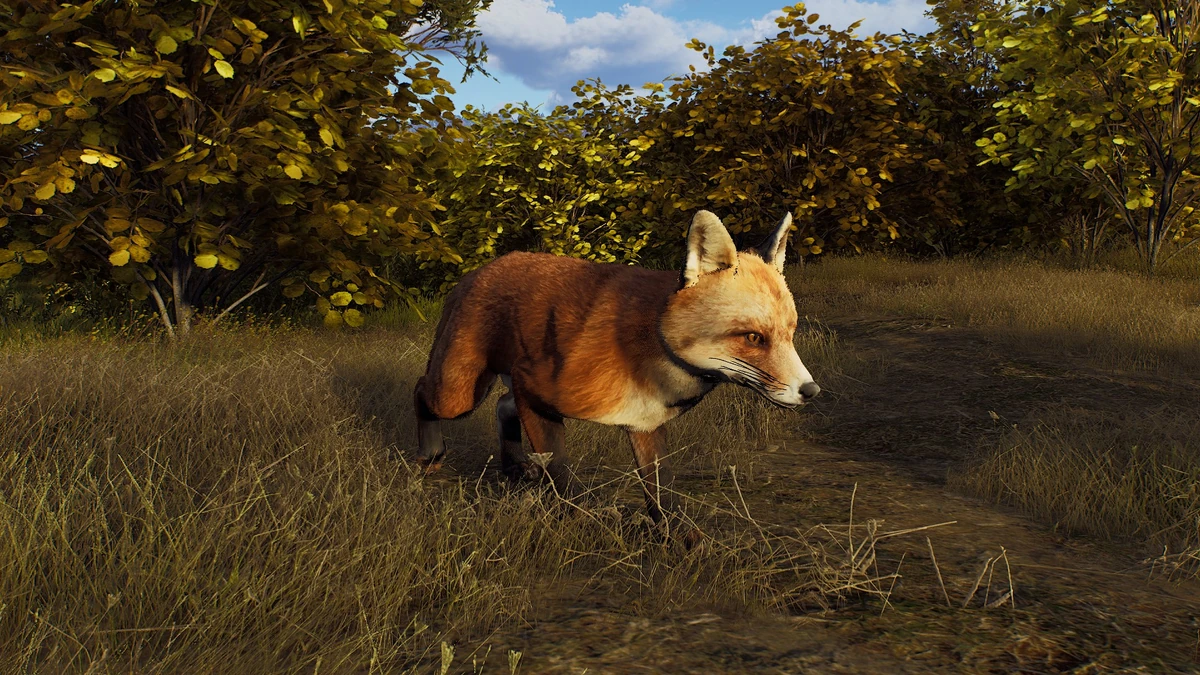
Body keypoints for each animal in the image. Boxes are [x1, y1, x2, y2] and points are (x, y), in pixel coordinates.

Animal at [413, 210, 820, 543]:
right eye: (753, 338)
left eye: (791, 332)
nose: (811, 390)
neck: (653, 342)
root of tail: (483, 268)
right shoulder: (537, 386)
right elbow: (561, 475)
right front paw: (575, 519)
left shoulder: (645, 424)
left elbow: (662, 496)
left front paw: (678, 539)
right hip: (460, 393)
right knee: (423, 391)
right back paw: (430, 454)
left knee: (502, 405)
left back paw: (512, 465)